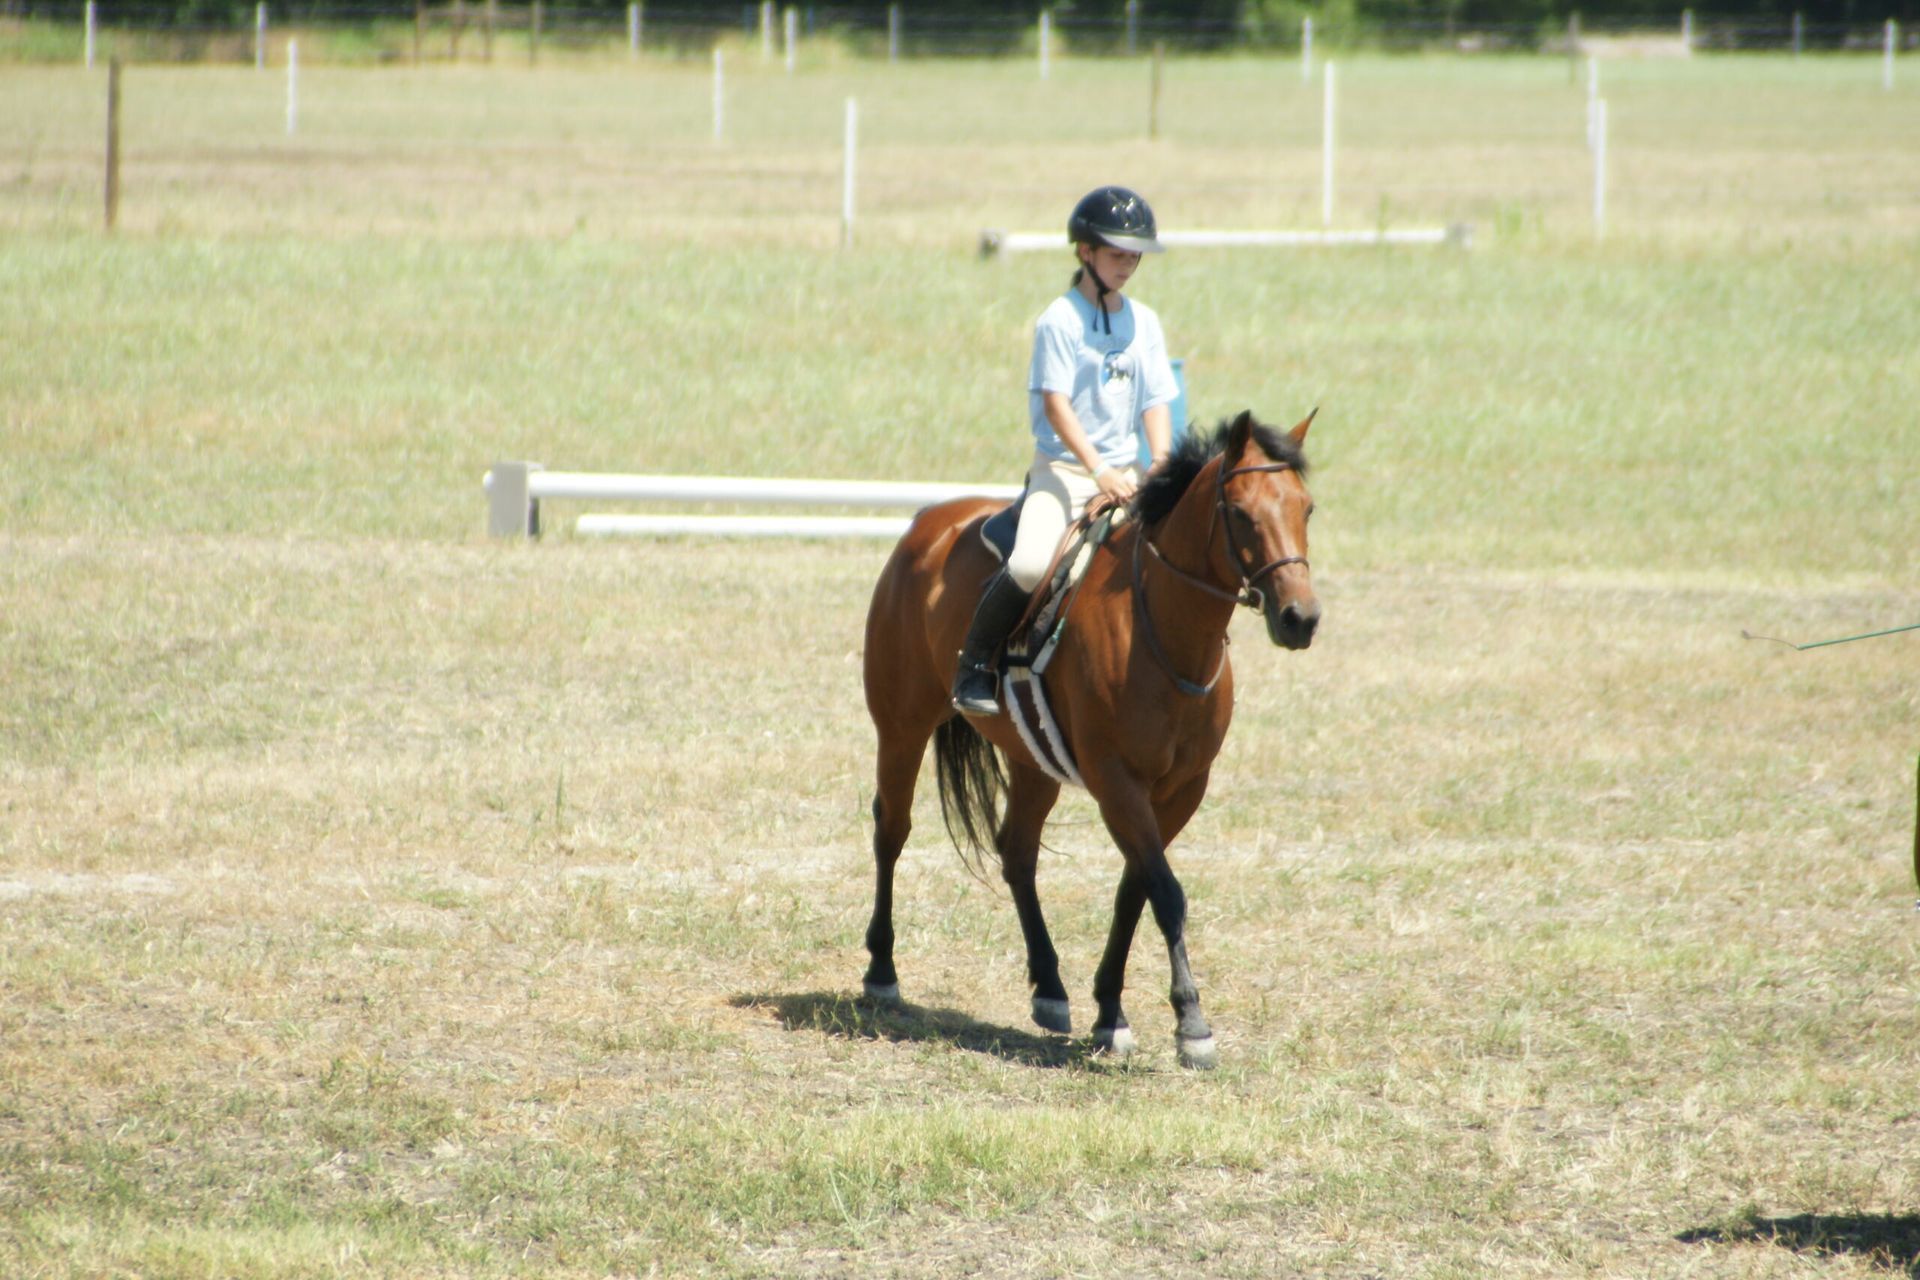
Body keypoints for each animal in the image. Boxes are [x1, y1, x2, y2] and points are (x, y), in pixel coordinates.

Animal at [859, 409, 1318, 1068]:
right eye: (1240, 512)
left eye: (1306, 508)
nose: (1300, 619)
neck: (1164, 632)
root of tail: (928, 523)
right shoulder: (1116, 782)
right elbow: (1165, 892)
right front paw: (1192, 1025)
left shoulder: (1182, 790)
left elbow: (1137, 890)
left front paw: (1110, 1013)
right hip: (901, 727)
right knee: (891, 833)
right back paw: (882, 971)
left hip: (1032, 759)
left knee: (1017, 851)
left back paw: (1050, 989)